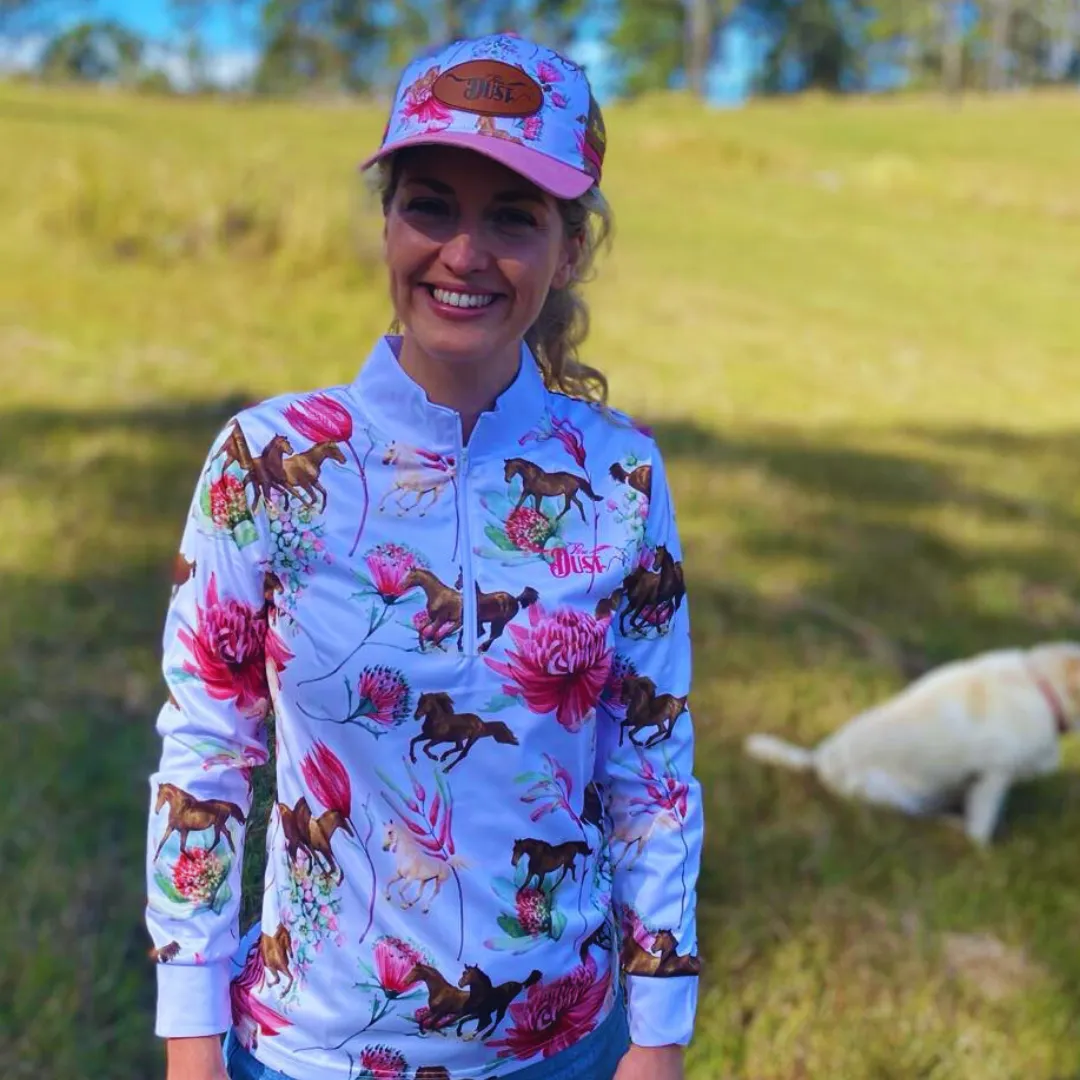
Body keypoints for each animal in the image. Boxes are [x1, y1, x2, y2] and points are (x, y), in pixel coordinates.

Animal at [743, 639, 1080, 842]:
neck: (1043, 688)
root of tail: (818, 758)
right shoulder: (993, 776)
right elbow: (980, 830)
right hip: (893, 796)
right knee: (918, 817)